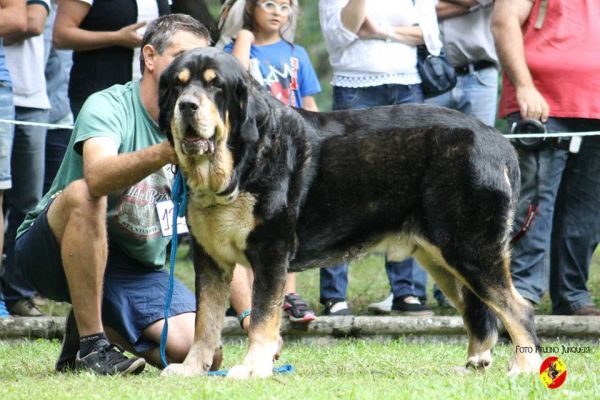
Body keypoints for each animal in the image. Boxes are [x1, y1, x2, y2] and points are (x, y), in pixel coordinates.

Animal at [157, 47, 540, 378]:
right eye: (178, 84)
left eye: (215, 85)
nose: (187, 106)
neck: (239, 163)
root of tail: (499, 142)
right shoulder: (211, 259)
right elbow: (205, 322)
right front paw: (192, 368)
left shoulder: (270, 252)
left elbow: (263, 317)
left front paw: (252, 368)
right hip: (442, 257)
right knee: (475, 307)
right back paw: (475, 361)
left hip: (470, 250)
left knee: (518, 308)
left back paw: (524, 366)